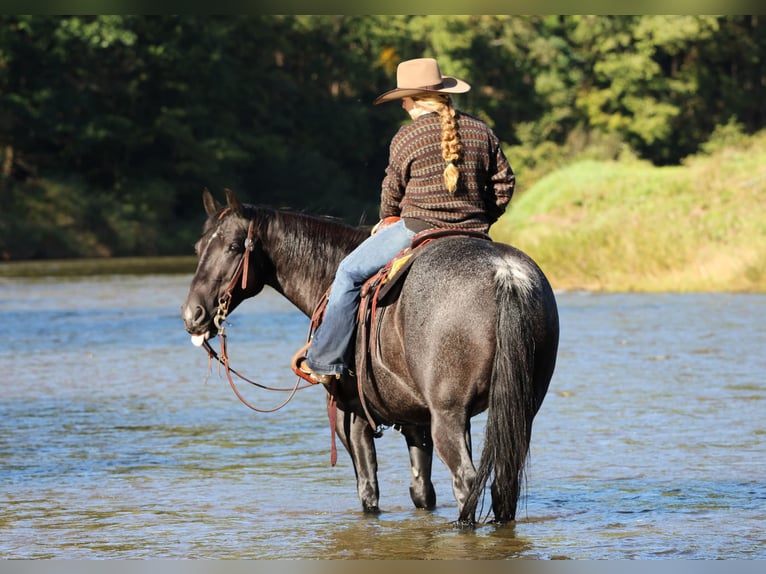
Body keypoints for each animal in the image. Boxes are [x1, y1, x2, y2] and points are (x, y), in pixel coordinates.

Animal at [181, 189, 559, 525]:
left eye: (233, 247)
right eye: (198, 248)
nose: (192, 314)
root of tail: (504, 273)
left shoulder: (352, 418)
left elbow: (368, 492)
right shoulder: (415, 422)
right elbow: (422, 491)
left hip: (450, 417)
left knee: (466, 482)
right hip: (519, 410)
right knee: (503, 483)